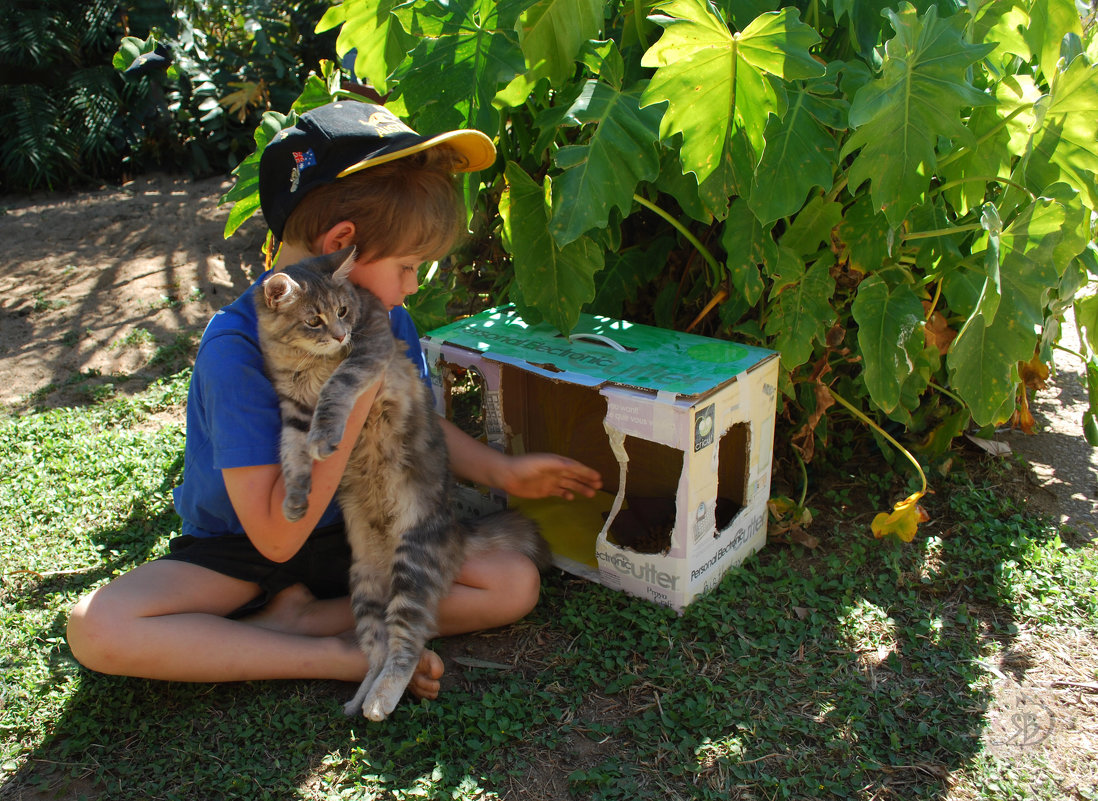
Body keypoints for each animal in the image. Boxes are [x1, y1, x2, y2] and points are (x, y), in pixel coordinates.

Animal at [256, 247, 549, 719]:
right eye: (314, 320)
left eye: (343, 312)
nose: (340, 335)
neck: (308, 362)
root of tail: (455, 530)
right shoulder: (293, 407)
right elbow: (292, 456)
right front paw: (296, 501)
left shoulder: (367, 349)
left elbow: (335, 390)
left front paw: (326, 438)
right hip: (365, 586)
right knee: (378, 651)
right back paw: (359, 700)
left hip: (411, 566)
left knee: (405, 647)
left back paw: (380, 702)